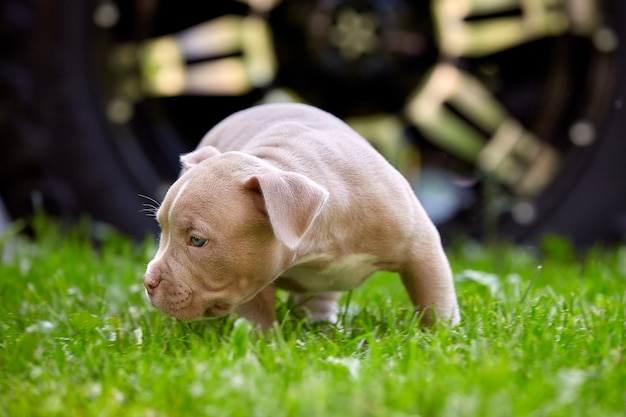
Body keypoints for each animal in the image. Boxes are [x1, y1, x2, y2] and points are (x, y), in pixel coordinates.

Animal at [144, 103, 460, 328]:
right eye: (162, 230)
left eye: (197, 240)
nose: (147, 282)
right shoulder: (248, 276)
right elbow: (258, 320)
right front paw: (266, 350)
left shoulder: (420, 248)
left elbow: (435, 298)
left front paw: (442, 338)